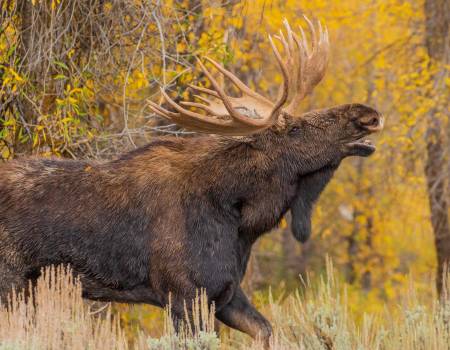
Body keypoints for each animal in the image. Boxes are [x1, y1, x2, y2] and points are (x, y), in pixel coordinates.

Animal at [0, 19, 384, 344]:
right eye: (295, 129)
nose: (367, 114)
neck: (242, 220)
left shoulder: (226, 292)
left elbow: (266, 330)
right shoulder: (183, 294)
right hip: (12, 281)